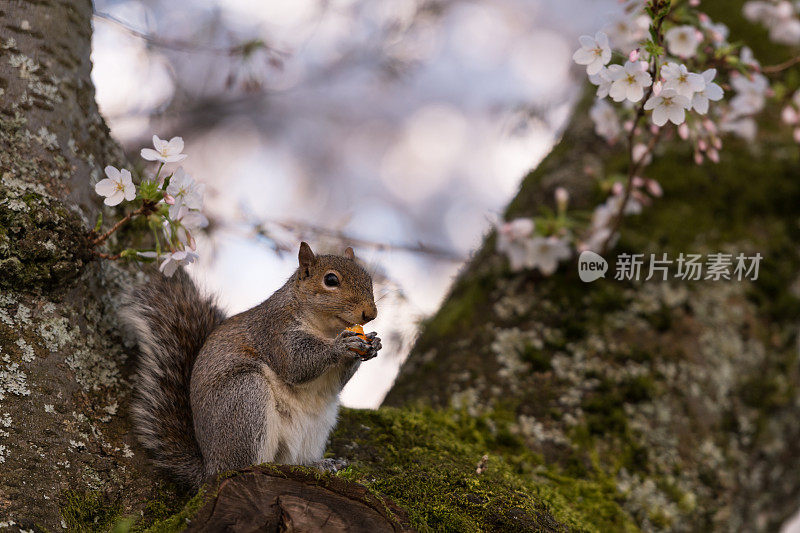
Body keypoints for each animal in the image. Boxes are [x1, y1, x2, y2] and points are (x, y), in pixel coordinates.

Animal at [124, 242, 382, 486]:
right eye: (331, 280)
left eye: (368, 279)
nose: (370, 313)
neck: (325, 329)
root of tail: (209, 470)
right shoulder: (275, 332)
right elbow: (296, 364)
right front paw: (341, 346)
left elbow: (337, 381)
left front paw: (373, 343)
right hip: (246, 398)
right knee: (245, 464)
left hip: (316, 426)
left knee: (290, 459)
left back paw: (318, 465)